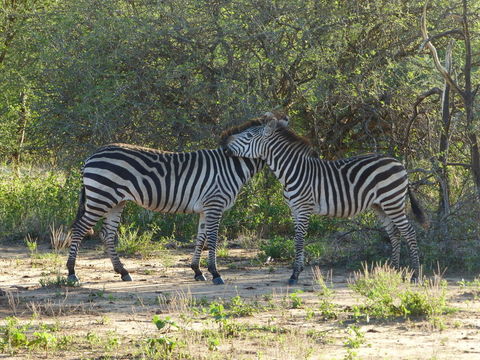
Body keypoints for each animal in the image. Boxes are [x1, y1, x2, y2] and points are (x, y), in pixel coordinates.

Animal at [66, 142, 262, 286]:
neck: (231, 166)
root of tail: (91, 157)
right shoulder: (214, 204)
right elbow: (212, 239)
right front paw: (214, 273)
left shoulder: (205, 208)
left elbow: (201, 238)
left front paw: (197, 271)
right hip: (101, 197)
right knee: (79, 229)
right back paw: (72, 273)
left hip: (116, 201)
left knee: (107, 233)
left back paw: (123, 271)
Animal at [221, 112, 428, 284]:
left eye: (248, 136)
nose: (224, 145)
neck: (292, 171)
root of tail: (399, 163)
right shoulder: (294, 210)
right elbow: (297, 239)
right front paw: (298, 270)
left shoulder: (304, 208)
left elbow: (299, 240)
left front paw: (294, 275)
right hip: (380, 205)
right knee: (394, 233)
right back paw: (394, 270)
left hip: (392, 201)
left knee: (409, 232)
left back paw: (415, 275)